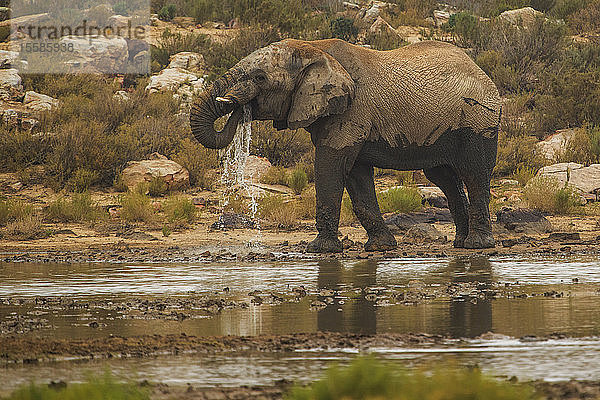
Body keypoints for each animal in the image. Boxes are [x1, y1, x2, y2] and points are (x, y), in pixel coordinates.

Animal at [191, 39, 502, 253]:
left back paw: (477, 245)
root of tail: (482, 71)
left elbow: (329, 166)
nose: (240, 108)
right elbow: (356, 176)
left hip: (478, 120)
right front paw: (380, 247)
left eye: (259, 78)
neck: (313, 48)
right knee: (444, 178)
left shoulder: (351, 111)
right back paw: (460, 243)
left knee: (474, 174)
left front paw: (320, 250)